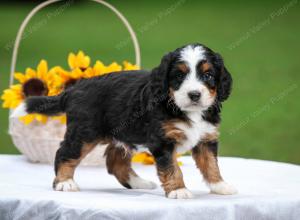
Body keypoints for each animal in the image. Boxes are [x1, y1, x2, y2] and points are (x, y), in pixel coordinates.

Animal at [21, 43, 238, 199]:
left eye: (208, 75)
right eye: (179, 75)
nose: (194, 95)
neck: (186, 110)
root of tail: (74, 89)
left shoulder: (206, 138)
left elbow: (211, 164)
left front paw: (220, 186)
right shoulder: (162, 141)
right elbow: (172, 168)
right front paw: (178, 190)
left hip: (122, 134)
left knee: (115, 162)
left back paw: (139, 183)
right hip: (84, 133)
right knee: (64, 153)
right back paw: (64, 182)